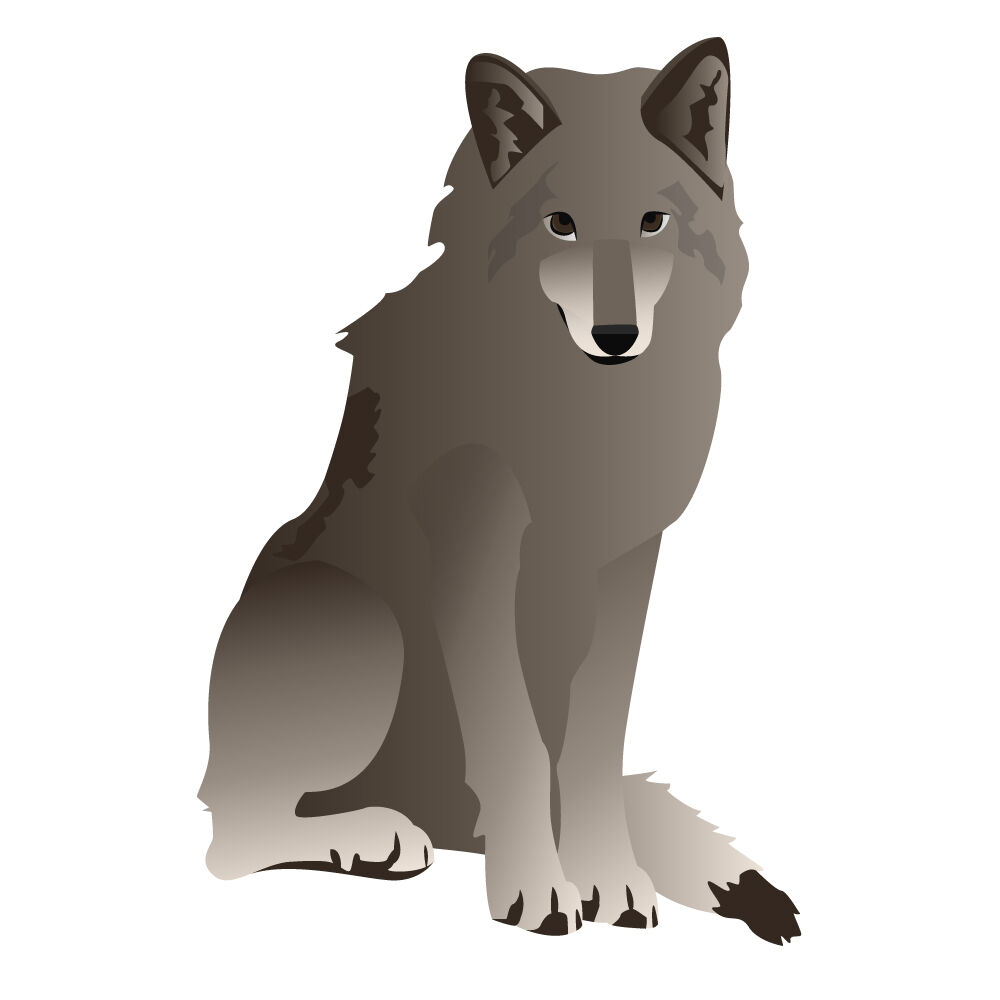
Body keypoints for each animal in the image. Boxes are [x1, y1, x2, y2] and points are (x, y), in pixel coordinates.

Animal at [199, 37, 800, 943]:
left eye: (653, 222)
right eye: (561, 223)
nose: (615, 335)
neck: (582, 416)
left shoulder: (629, 564)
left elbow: (594, 744)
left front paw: (609, 879)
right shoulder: (476, 555)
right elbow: (514, 740)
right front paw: (538, 890)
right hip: (367, 630)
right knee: (230, 838)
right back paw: (373, 836)